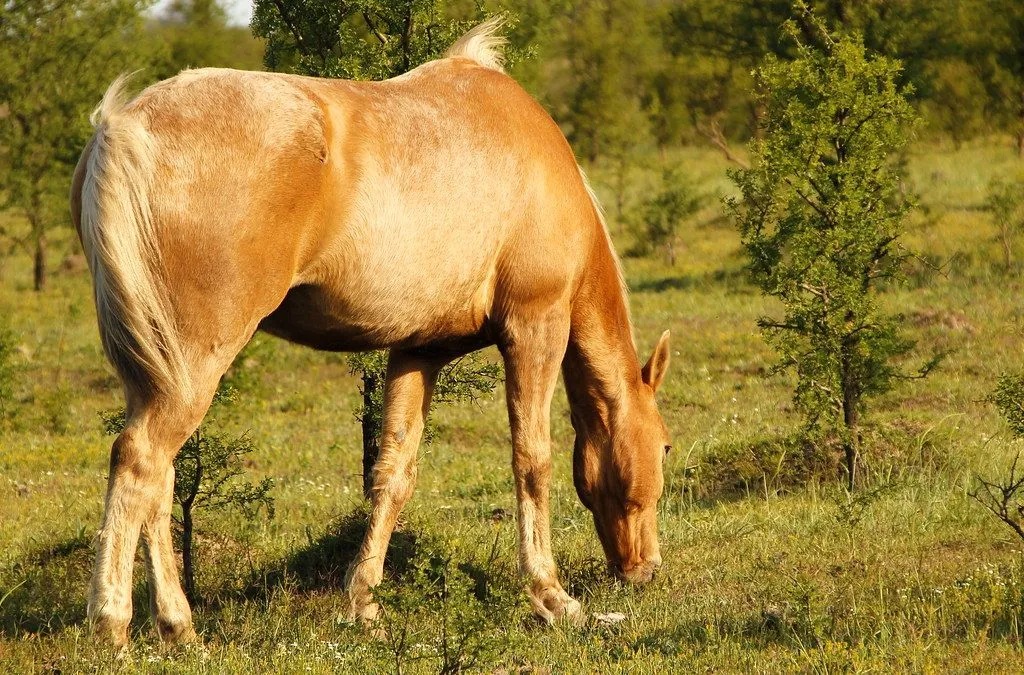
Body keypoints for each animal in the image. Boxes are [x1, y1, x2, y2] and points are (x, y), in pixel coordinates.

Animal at [68, 18, 667, 647]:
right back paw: (115, 621)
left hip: (157, 371)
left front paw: (363, 600)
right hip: (193, 364)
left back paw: (176, 625)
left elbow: (393, 473)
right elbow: (532, 461)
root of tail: (122, 126)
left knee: (158, 481)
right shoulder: (535, 327)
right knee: (140, 461)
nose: (646, 568)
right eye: (665, 445)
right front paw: (551, 596)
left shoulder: (418, 350)